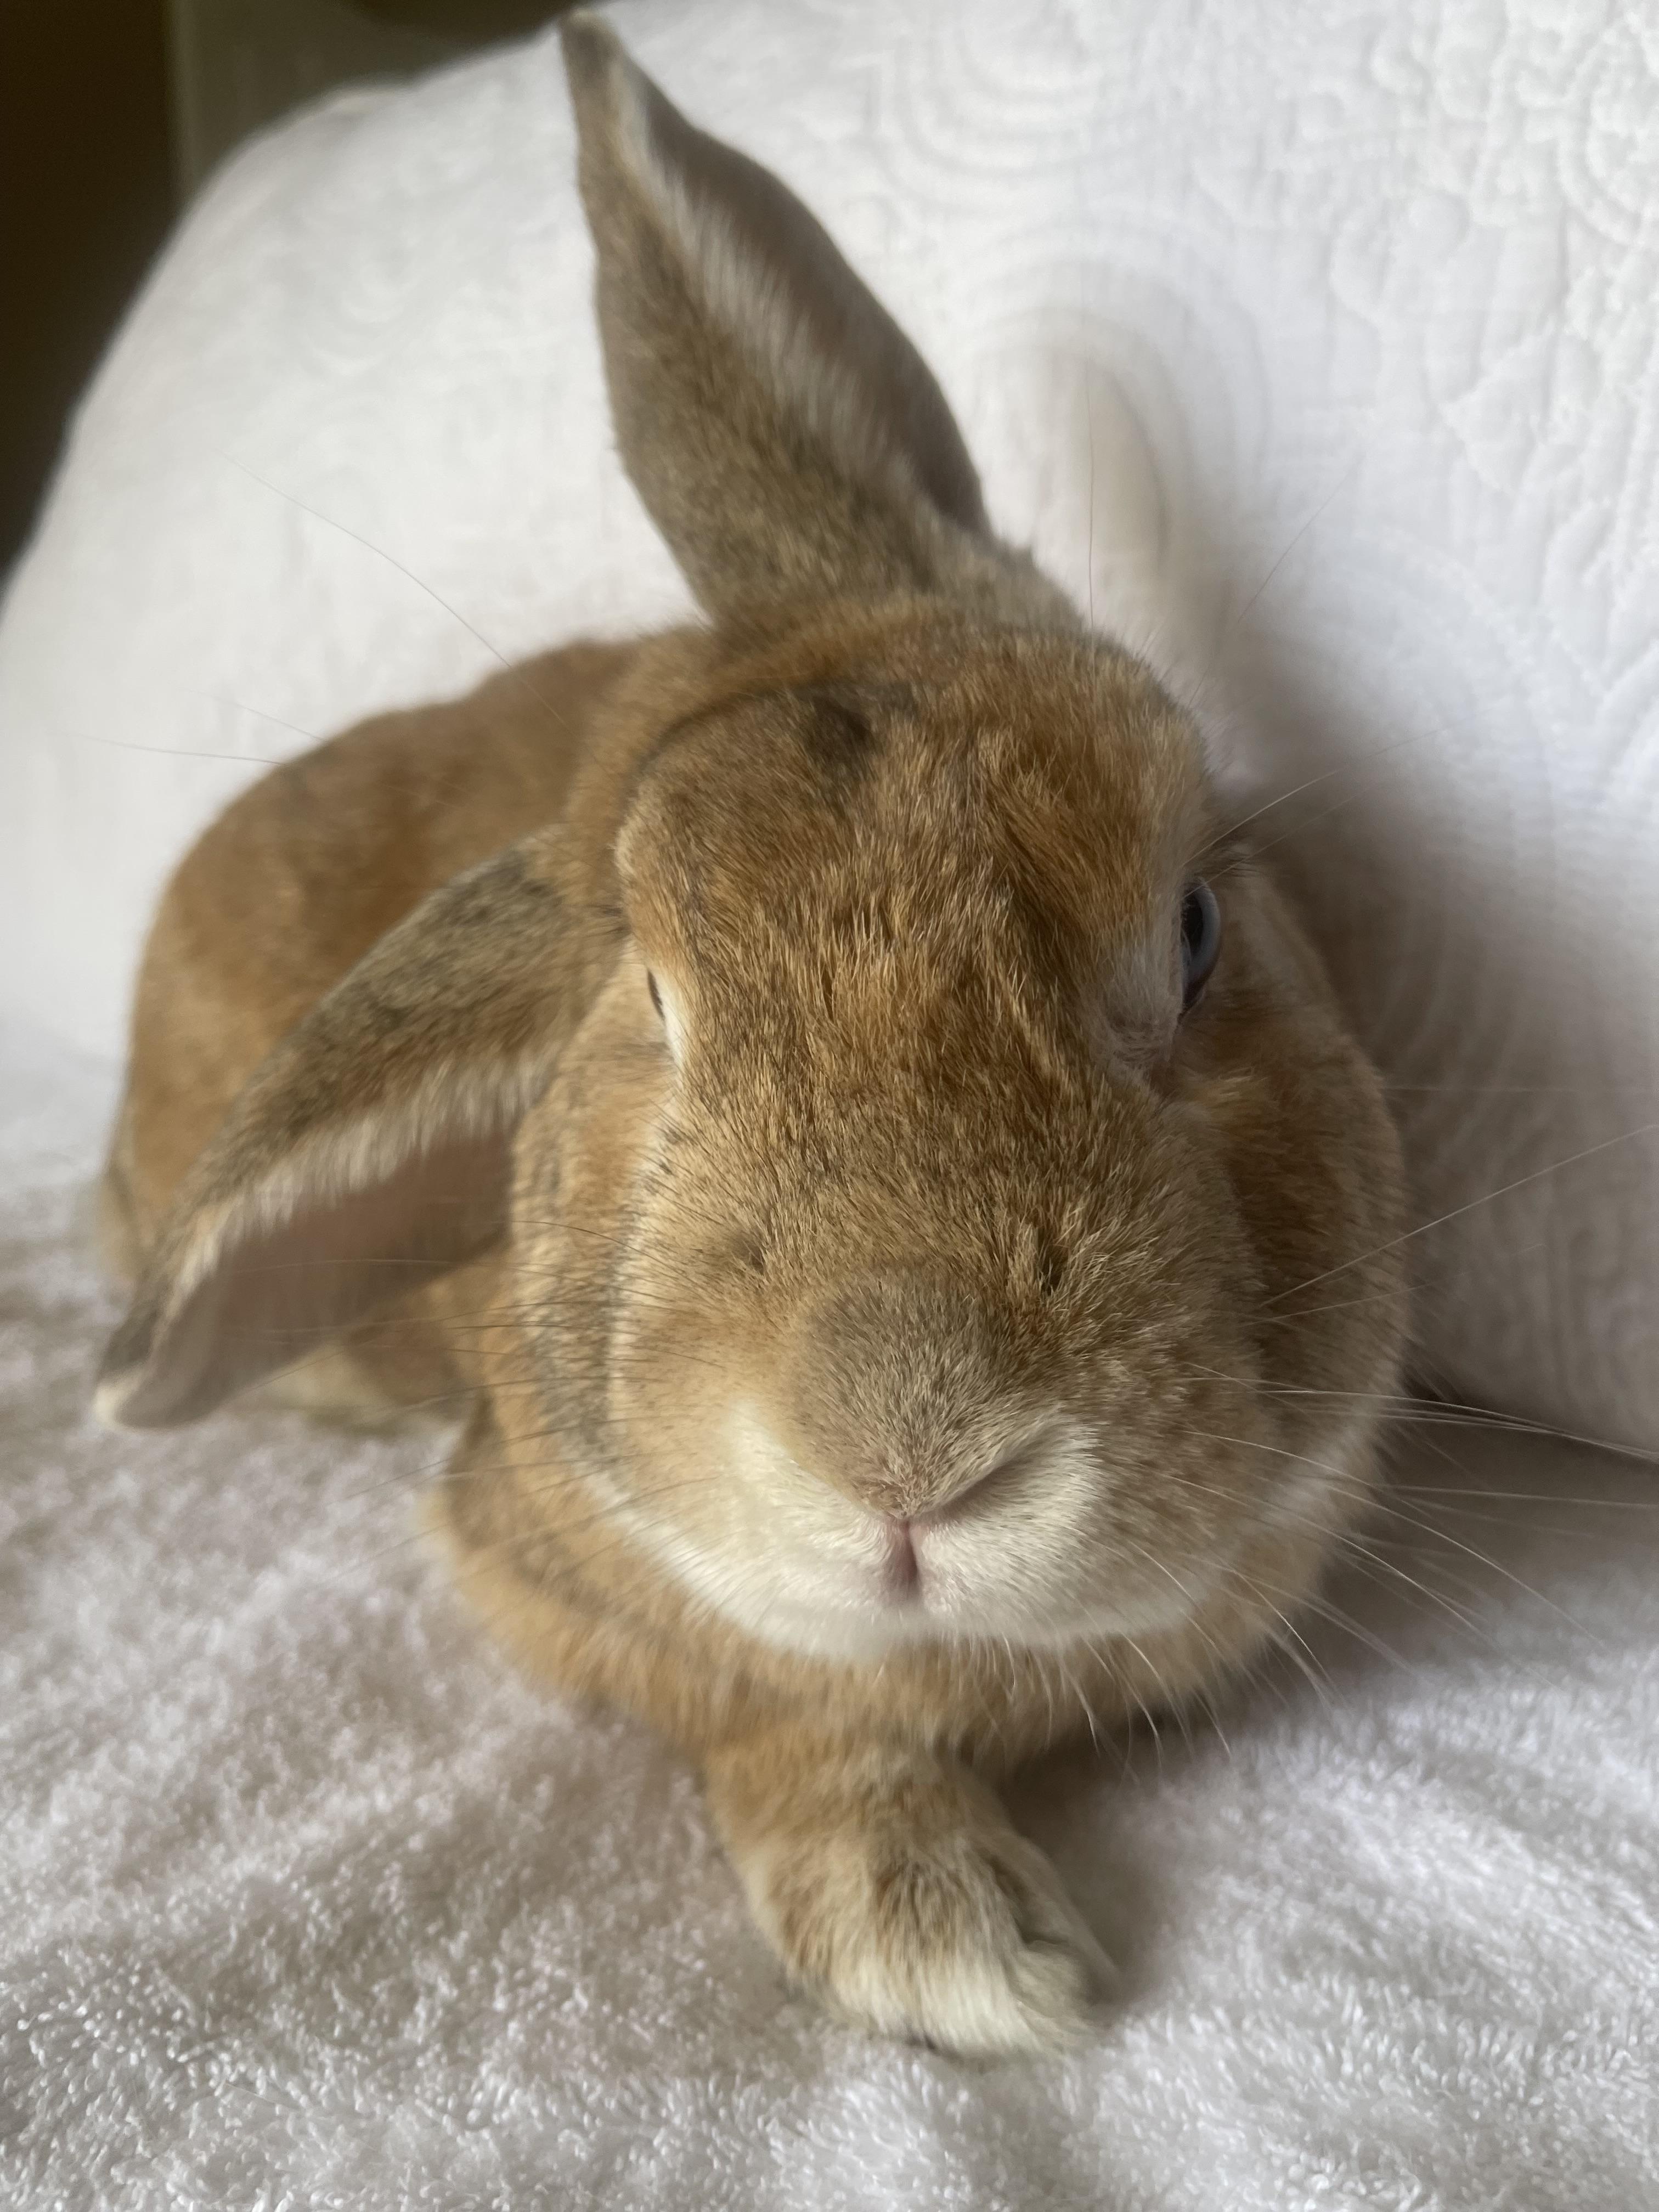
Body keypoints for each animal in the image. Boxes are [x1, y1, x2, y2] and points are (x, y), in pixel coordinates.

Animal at [94, 13, 1408, 2055]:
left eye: (1195, 927)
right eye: (652, 1000)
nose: (908, 1447)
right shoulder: (539, 1573)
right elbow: (772, 1709)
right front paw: (950, 1944)